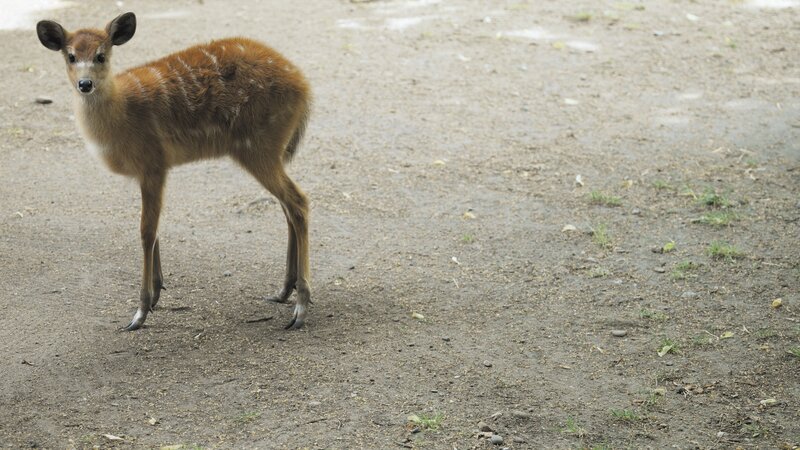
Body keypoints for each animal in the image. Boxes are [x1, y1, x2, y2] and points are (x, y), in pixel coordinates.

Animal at [36, 12, 313, 331]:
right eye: (70, 56)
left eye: (101, 55)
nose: (85, 83)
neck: (121, 115)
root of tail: (305, 88)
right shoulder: (149, 171)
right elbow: (154, 229)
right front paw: (156, 294)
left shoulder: (153, 163)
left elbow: (146, 230)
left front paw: (140, 313)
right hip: (269, 152)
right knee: (287, 207)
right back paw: (283, 291)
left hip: (259, 148)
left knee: (298, 202)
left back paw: (300, 308)